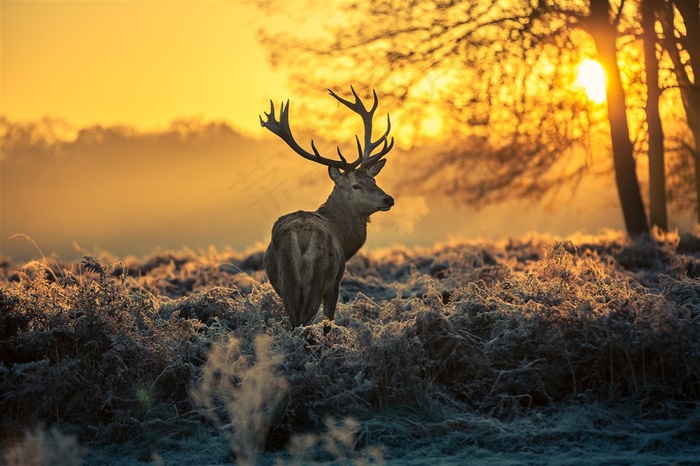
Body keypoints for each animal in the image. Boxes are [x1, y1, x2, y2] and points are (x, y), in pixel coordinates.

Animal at [262, 87, 396, 328]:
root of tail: (302, 235)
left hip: (286, 283)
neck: (344, 237)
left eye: (374, 180)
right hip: (319, 278)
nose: (388, 199)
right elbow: (328, 322)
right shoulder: (335, 283)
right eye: (356, 185)